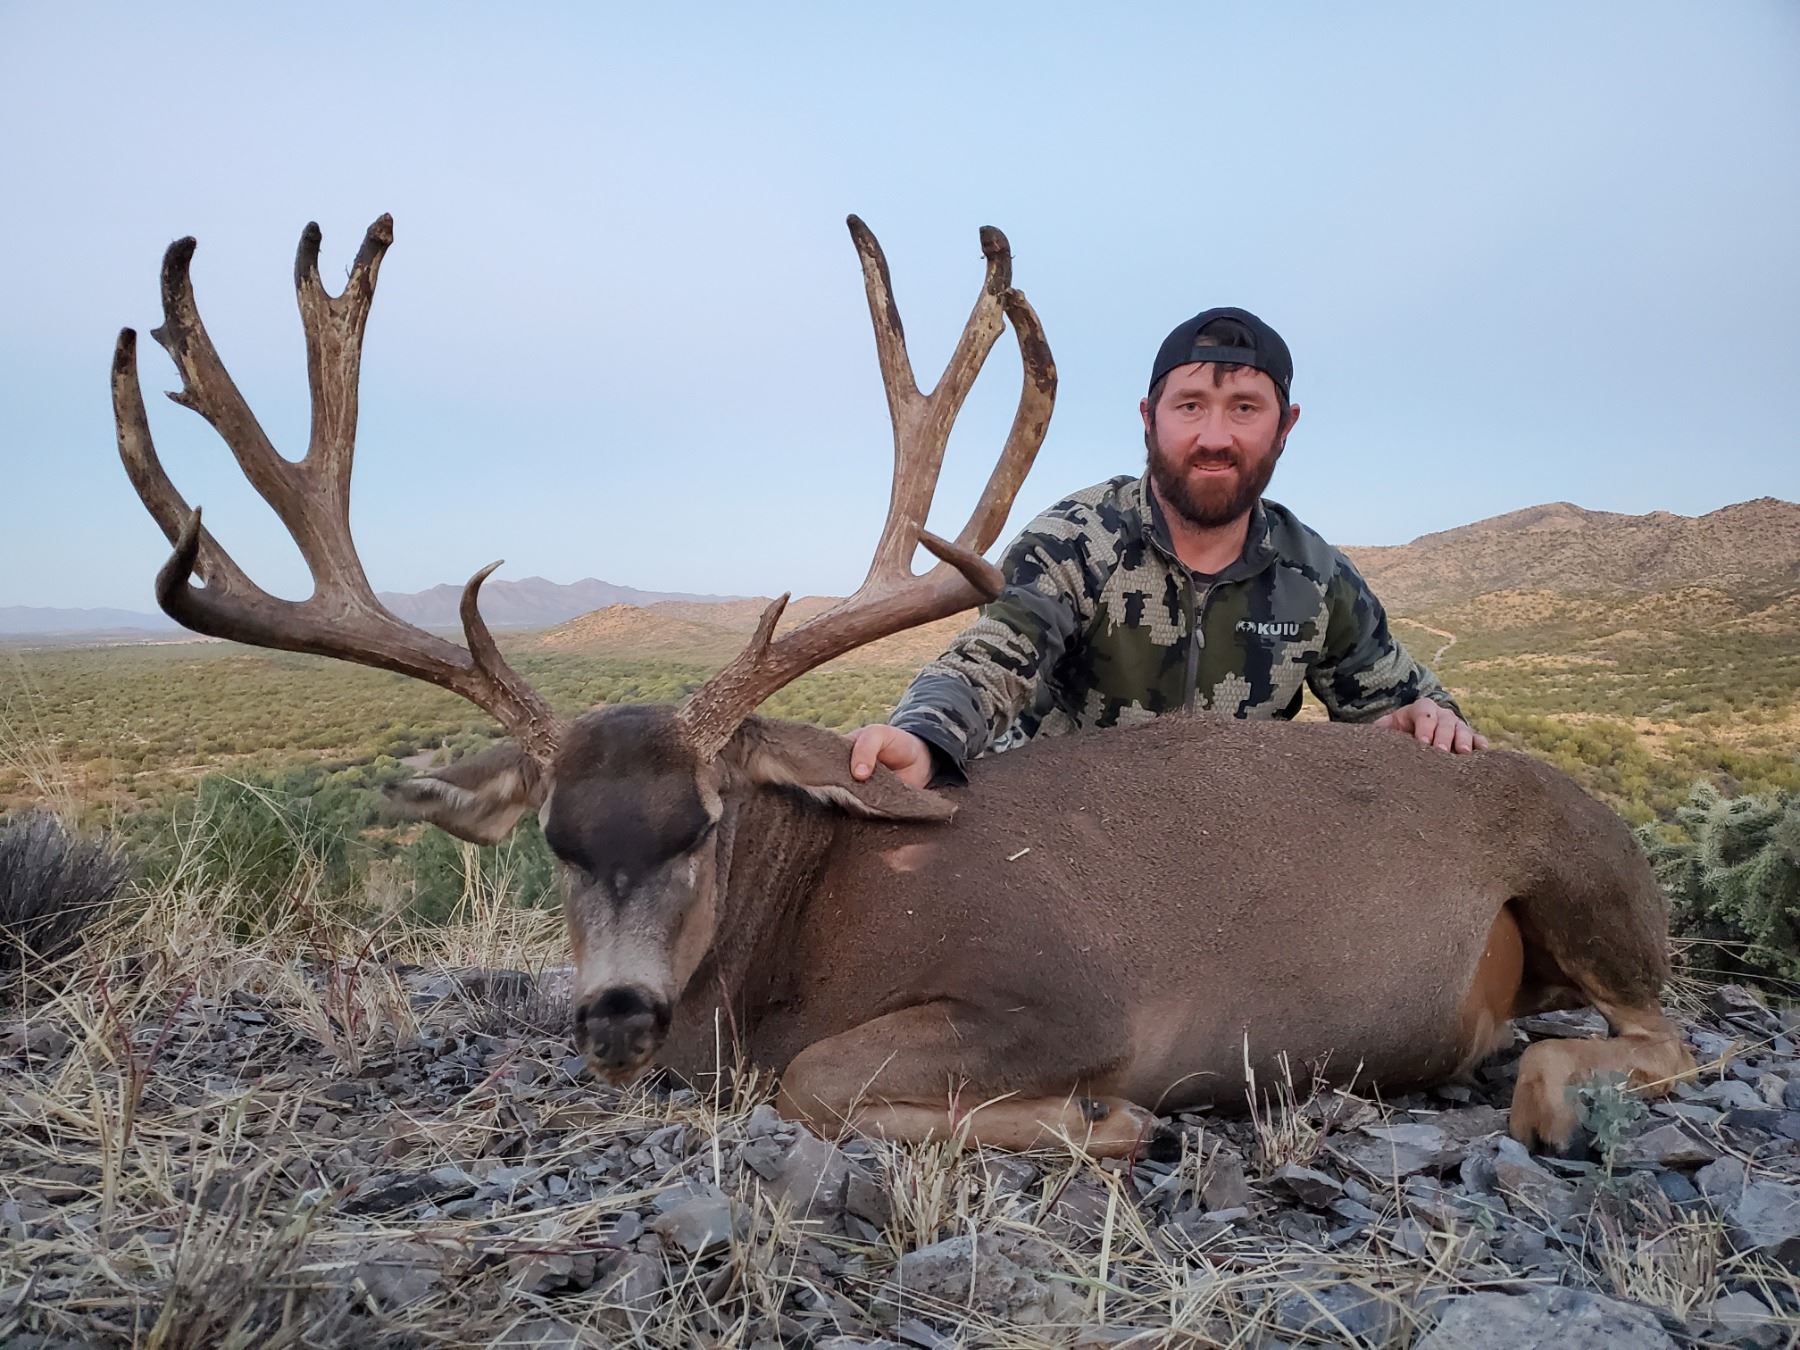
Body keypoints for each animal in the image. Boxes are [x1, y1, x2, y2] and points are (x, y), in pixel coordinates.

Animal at [113, 213, 1694, 1158]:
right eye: (556, 840)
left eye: (702, 822)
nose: (615, 1017)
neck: (799, 933)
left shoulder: (1060, 994)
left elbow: (820, 1082)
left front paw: (1111, 1125)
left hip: (1589, 882)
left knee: (1652, 1035)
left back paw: (1539, 1090)